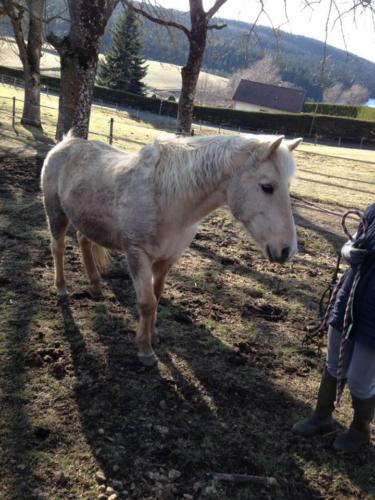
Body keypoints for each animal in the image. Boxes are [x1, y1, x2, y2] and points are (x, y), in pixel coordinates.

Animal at [41, 132, 302, 368]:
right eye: (267, 187)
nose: (287, 250)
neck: (166, 198)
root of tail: (65, 142)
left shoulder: (167, 258)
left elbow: (157, 297)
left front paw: (153, 336)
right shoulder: (138, 255)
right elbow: (147, 302)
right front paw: (145, 351)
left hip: (87, 220)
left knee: (83, 241)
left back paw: (95, 287)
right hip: (56, 214)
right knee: (58, 247)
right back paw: (61, 289)